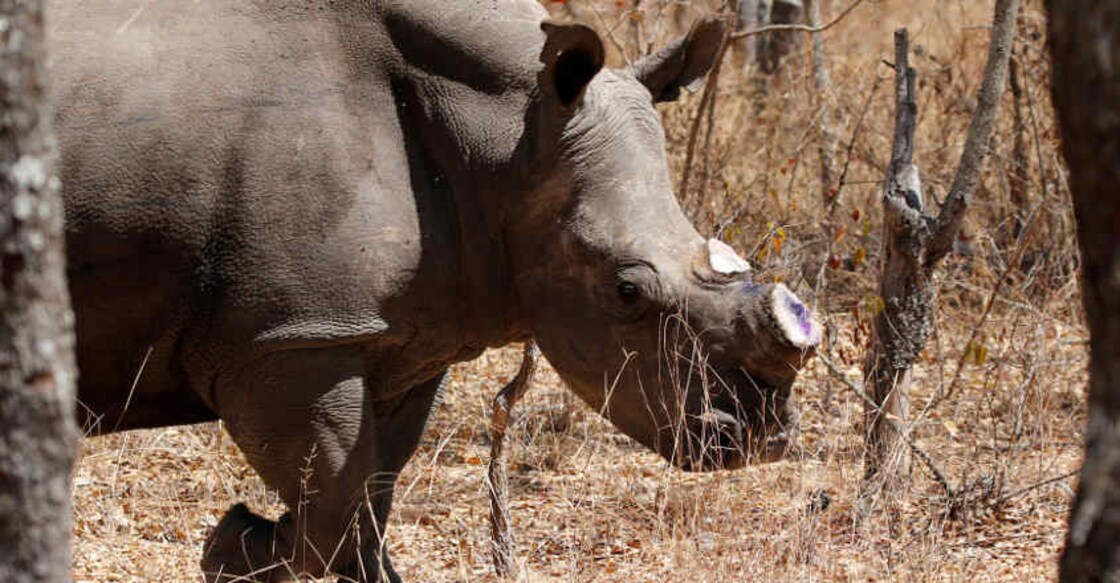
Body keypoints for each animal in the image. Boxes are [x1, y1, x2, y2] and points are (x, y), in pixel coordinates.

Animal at [53, 1, 820, 580]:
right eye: (628, 291)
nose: (761, 436)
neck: (505, 138)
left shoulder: (403, 340)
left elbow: (370, 498)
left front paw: (251, 546)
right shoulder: (287, 341)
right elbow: (334, 502)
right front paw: (235, 544)